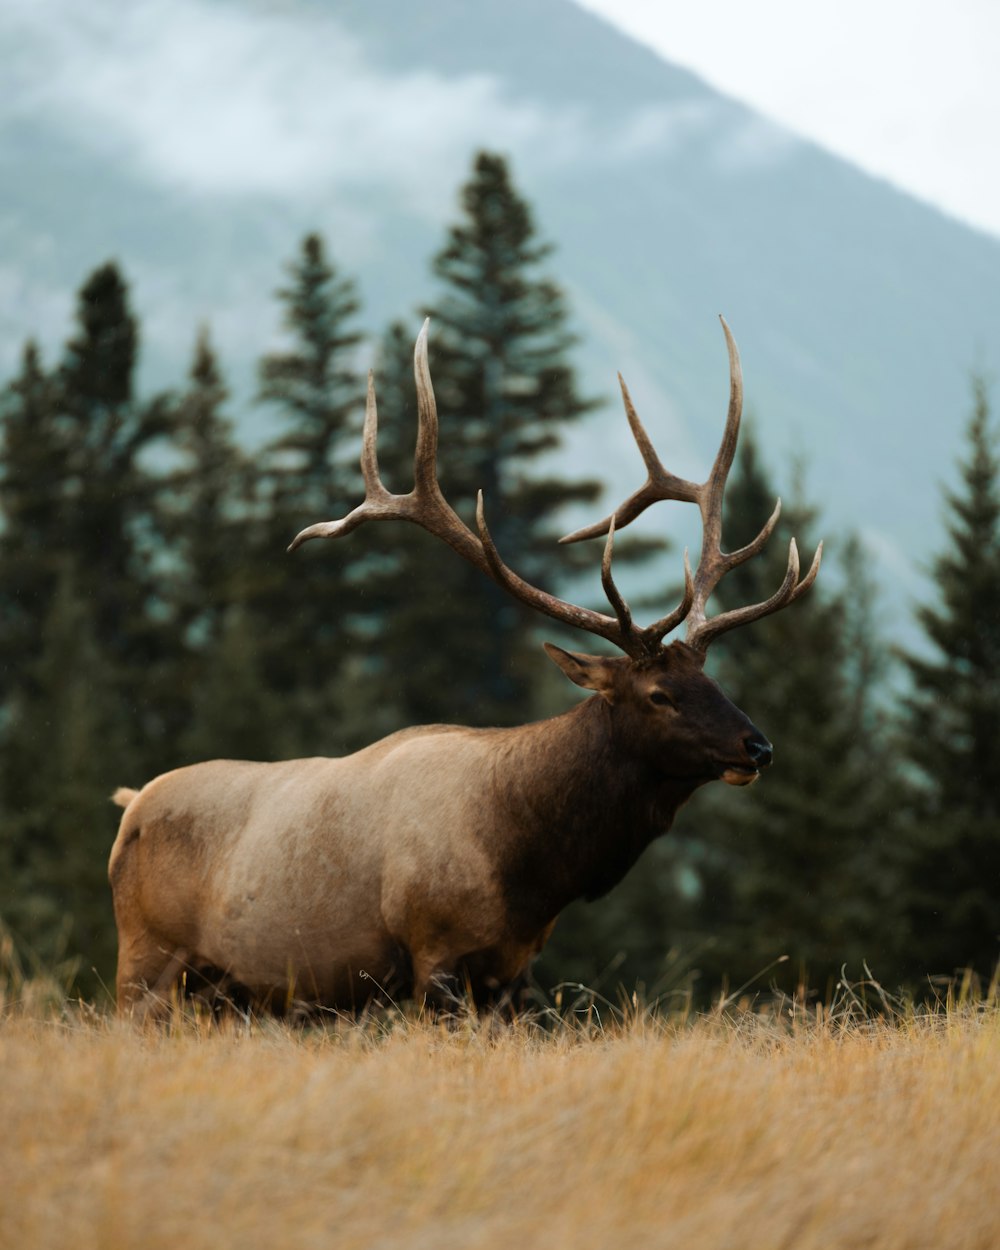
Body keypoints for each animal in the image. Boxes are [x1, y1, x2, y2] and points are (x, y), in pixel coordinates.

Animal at [109, 315, 820, 1015]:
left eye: (710, 679)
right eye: (658, 694)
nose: (758, 747)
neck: (532, 868)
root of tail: (129, 807)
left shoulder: (514, 969)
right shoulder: (435, 952)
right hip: (145, 959)